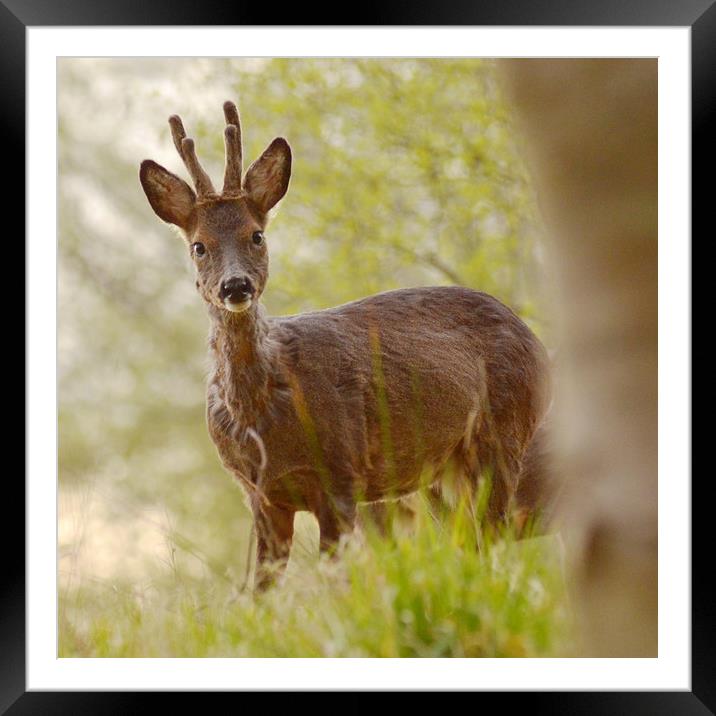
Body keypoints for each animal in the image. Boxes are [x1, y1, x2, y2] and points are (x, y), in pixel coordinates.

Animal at [141, 103, 552, 592]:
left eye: (256, 235)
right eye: (199, 246)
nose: (235, 286)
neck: (264, 409)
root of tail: (536, 341)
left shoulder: (340, 474)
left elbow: (334, 583)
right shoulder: (261, 495)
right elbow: (259, 592)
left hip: (503, 435)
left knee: (493, 539)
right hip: (442, 474)